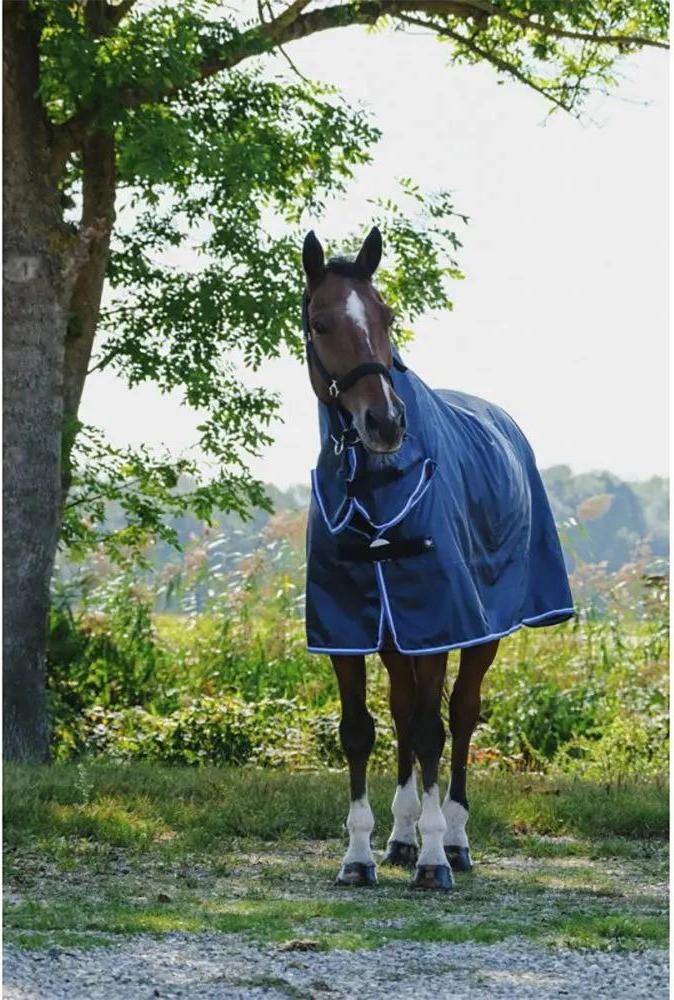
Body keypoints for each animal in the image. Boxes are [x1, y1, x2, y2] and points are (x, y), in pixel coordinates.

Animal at [301, 226, 574, 891]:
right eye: (320, 322)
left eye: (386, 315)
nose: (384, 421)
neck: (374, 486)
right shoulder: (348, 630)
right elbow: (360, 731)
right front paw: (360, 856)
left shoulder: (439, 624)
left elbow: (433, 730)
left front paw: (432, 861)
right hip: (399, 638)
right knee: (404, 714)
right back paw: (401, 838)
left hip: (476, 634)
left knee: (459, 716)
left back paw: (452, 840)